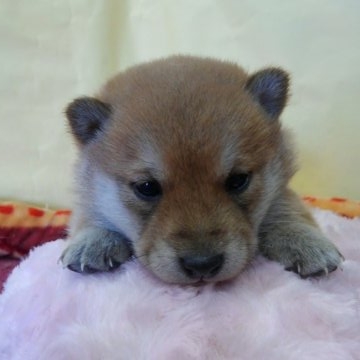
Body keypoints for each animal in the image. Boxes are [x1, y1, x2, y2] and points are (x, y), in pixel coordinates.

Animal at [59, 55, 344, 284]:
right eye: (147, 187)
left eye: (238, 180)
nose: (202, 265)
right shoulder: (89, 196)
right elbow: (90, 216)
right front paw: (93, 242)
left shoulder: (280, 189)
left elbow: (290, 211)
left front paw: (308, 243)